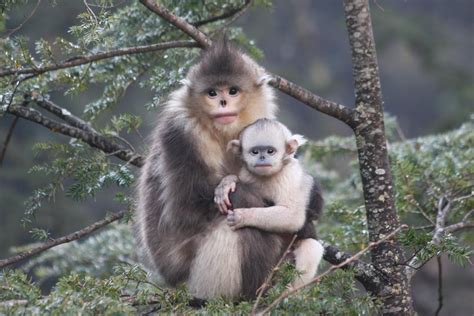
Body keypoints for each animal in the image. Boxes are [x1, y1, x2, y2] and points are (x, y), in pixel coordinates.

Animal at [216, 118, 324, 286]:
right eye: (255, 152)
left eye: (270, 151)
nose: (262, 158)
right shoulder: (246, 173)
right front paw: (227, 183)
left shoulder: (290, 175)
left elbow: (292, 217)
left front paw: (243, 217)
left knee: (311, 247)